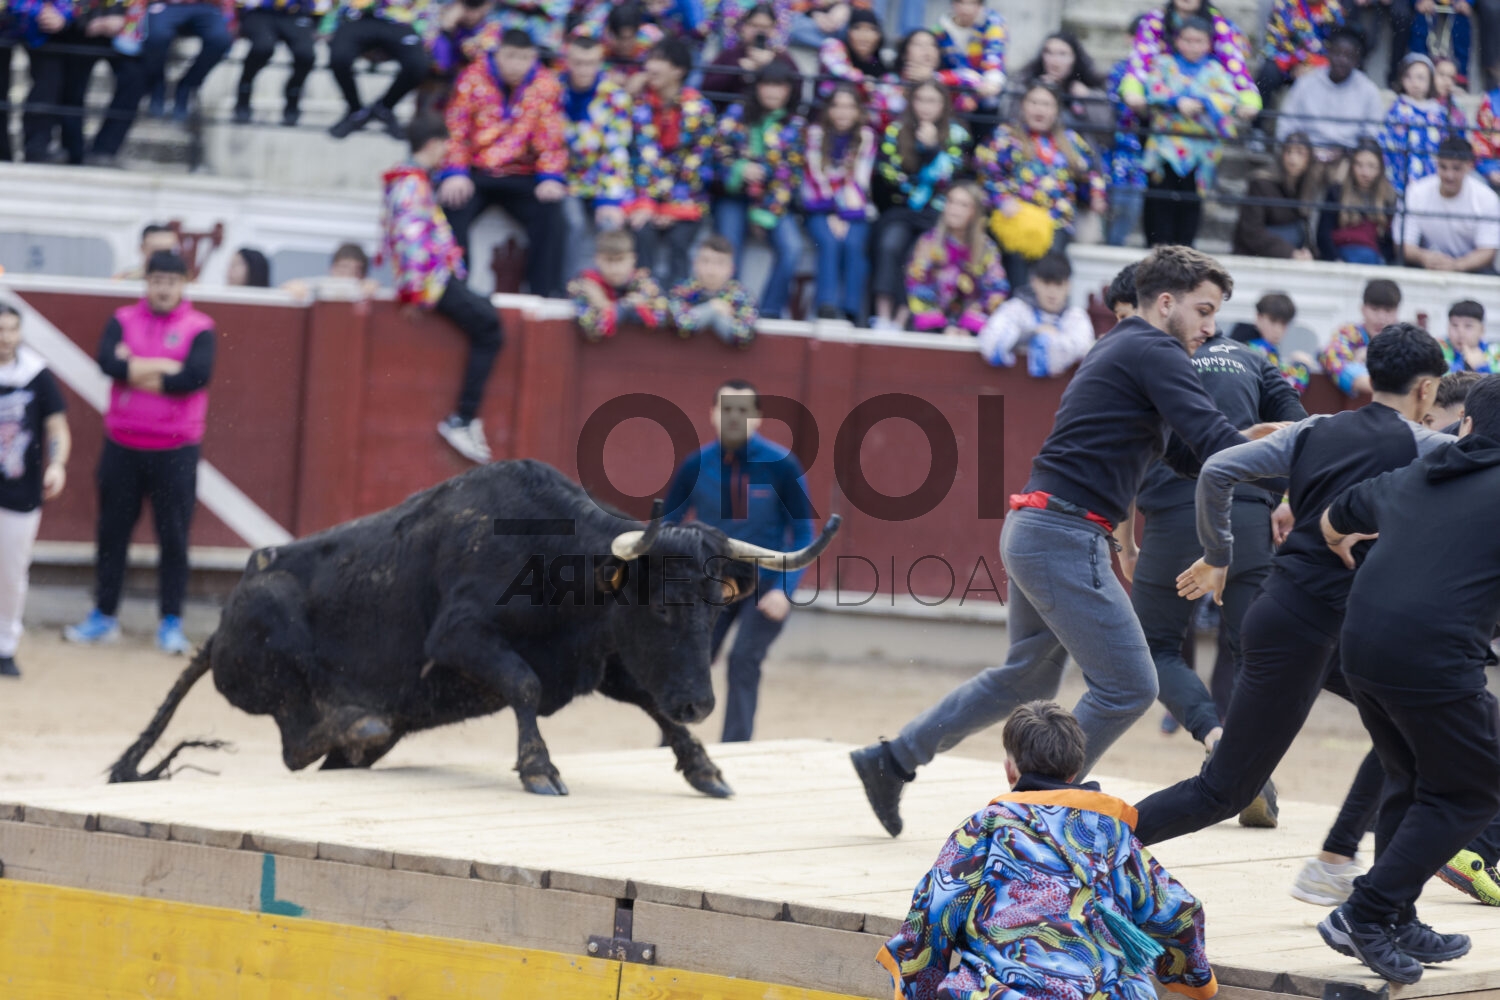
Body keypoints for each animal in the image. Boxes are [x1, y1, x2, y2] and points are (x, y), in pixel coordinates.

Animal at [108, 459, 839, 796]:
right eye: (662, 606)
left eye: (716, 606)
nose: (701, 703)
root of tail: (217, 630)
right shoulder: (459, 638)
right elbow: (521, 683)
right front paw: (539, 769)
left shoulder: (597, 660)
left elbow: (648, 704)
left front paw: (705, 767)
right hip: (270, 618)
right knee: (297, 739)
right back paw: (357, 719)